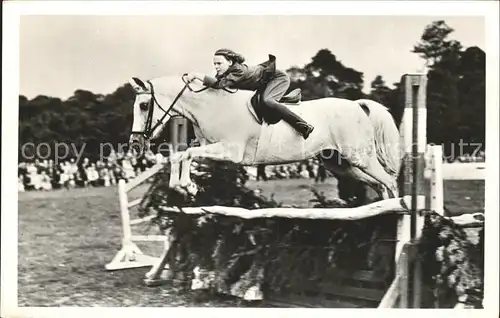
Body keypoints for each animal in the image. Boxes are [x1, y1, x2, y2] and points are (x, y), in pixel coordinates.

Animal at [130, 74, 402, 201]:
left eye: (144, 105)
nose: (135, 143)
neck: (211, 106)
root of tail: (357, 105)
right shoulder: (211, 148)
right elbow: (179, 155)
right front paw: (184, 187)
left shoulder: (230, 151)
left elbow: (186, 154)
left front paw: (188, 185)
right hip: (340, 165)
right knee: (379, 185)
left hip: (360, 157)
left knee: (389, 182)